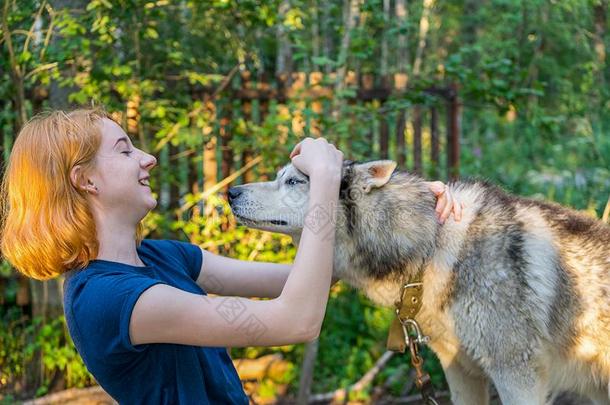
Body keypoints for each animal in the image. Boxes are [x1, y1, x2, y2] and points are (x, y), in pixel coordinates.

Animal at [227, 159, 608, 402]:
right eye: (279, 176)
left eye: (293, 181)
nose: (230, 191)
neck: (431, 249)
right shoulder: (461, 373)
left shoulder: (517, 376)